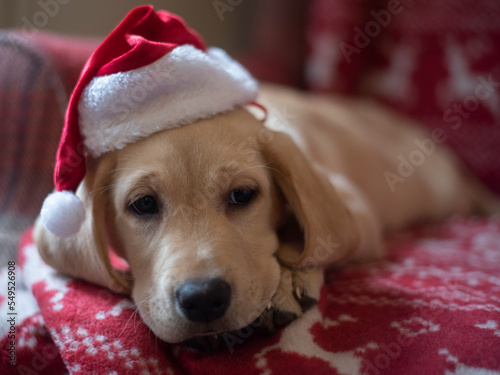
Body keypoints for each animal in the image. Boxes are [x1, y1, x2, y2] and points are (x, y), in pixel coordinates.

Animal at [33, 83, 498, 352]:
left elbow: (312, 242)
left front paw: (288, 281)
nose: (203, 298)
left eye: (242, 195)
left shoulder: (354, 209)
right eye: (143, 204)